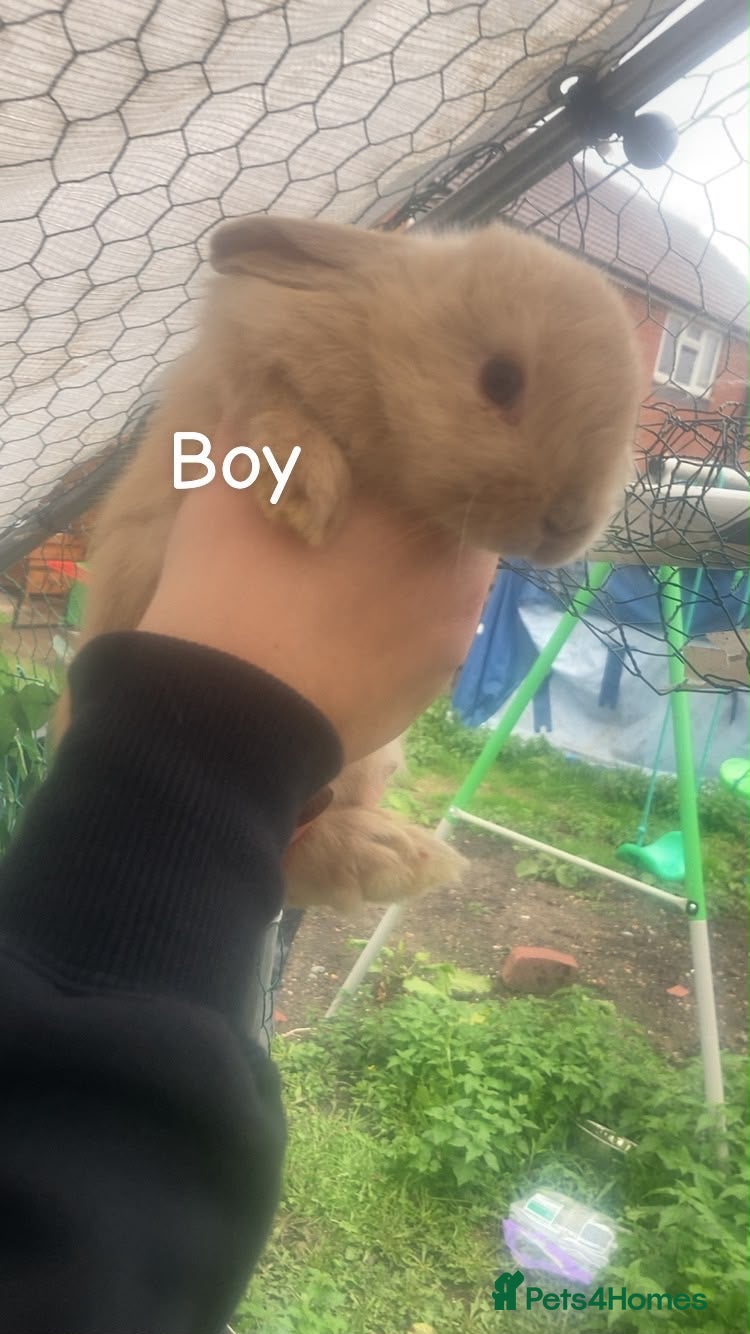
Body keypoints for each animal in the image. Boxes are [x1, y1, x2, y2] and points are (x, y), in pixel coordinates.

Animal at [54, 214, 642, 911]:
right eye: (500, 380)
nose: (569, 525)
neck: (380, 358)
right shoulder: (239, 362)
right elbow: (271, 399)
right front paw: (307, 497)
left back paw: (400, 855)